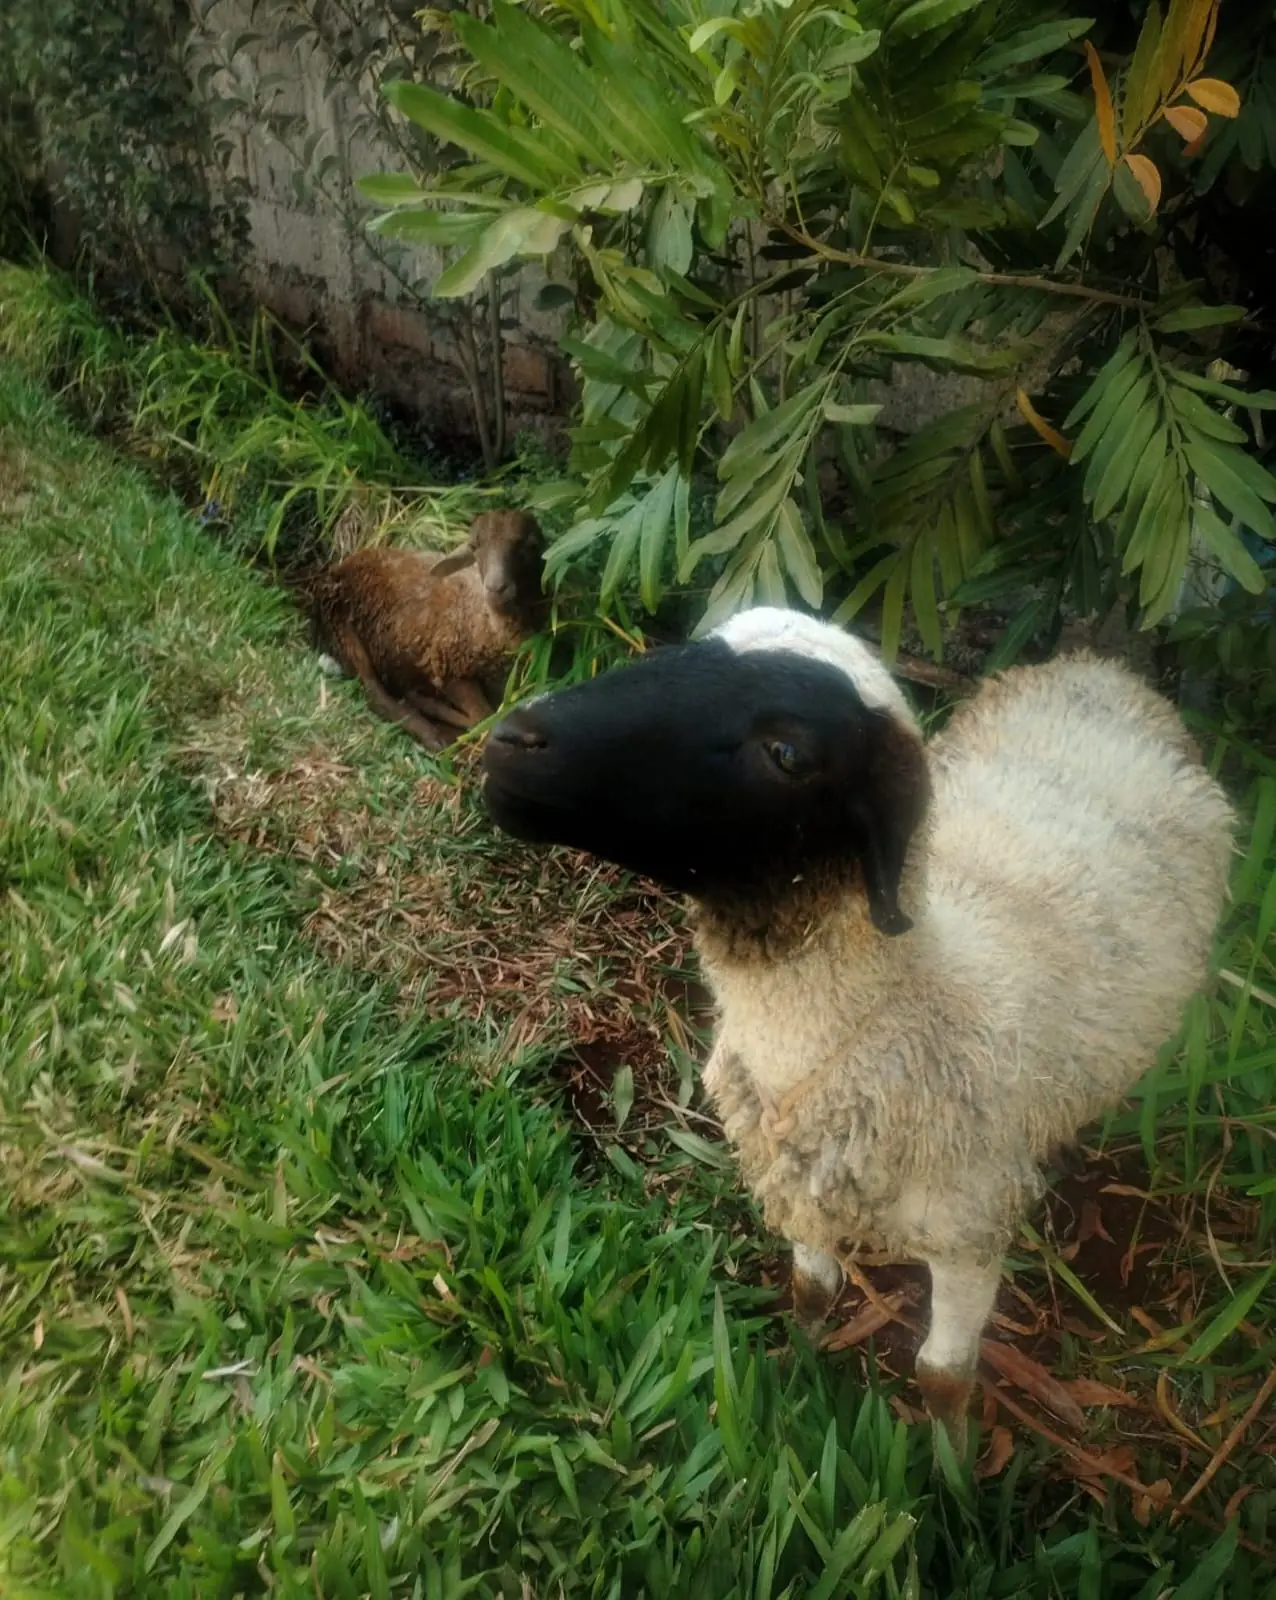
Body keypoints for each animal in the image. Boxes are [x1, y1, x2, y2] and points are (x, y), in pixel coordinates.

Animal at [306, 509, 546, 750]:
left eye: (531, 546)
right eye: (474, 546)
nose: (496, 588)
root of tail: (344, 563)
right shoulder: (447, 668)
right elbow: (484, 717)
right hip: (341, 627)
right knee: (374, 693)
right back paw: (432, 734)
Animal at [478, 605, 1235, 1447]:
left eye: (787, 752)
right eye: (690, 645)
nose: (511, 741)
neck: (902, 1003)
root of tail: (1102, 671)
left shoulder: (968, 1231)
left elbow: (941, 1376)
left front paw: (950, 1470)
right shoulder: (803, 1175)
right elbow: (811, 1287)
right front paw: (795, 1373)